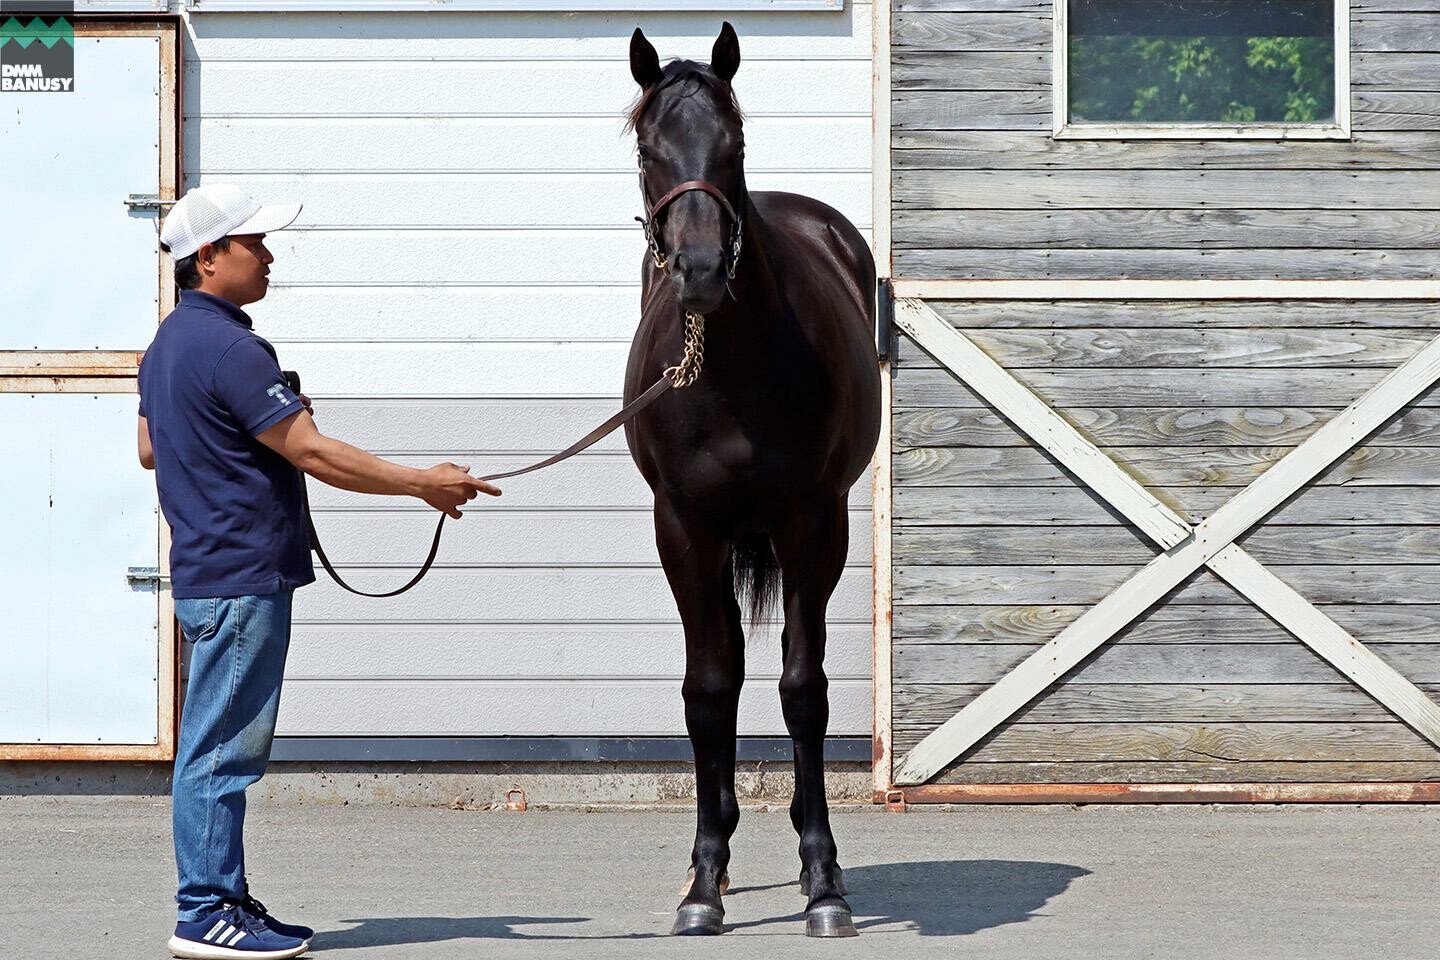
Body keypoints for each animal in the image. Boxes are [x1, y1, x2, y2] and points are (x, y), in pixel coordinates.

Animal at [619, 20, 875, 938]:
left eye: (733, 145)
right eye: (648, 148)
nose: (698, 271)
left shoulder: (814, 522)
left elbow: (804, 690)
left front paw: (825, 879)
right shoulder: (684, 528)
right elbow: (708, 687)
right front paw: (702, 882)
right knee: (723, 659)